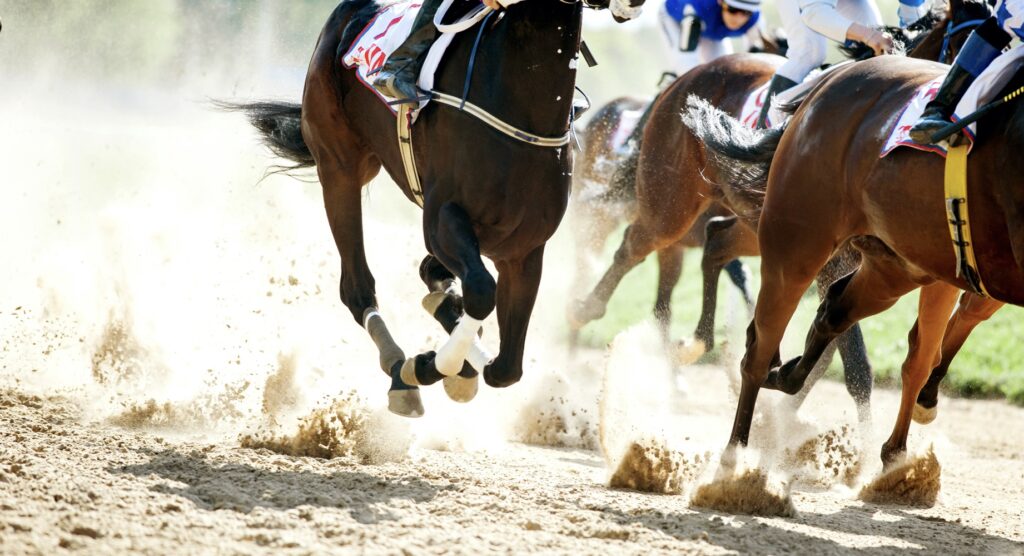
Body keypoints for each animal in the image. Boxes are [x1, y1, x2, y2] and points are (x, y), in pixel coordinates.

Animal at [230, 0, 647, 417]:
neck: (522, 103)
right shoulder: (443, 217)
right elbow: (481, 291)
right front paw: (428, 366)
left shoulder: (523, 250)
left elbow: (506, 368)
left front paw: (454, 358)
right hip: (340, 168)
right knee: (357, 288)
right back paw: (399, 369)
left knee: (430, 276)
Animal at [684, 53, 1024, 464]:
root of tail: (832, 79)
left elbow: (925, 348)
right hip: (797, 244)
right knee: (761, 344)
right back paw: (735, 458)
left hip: (892, 267)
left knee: (832, 312)